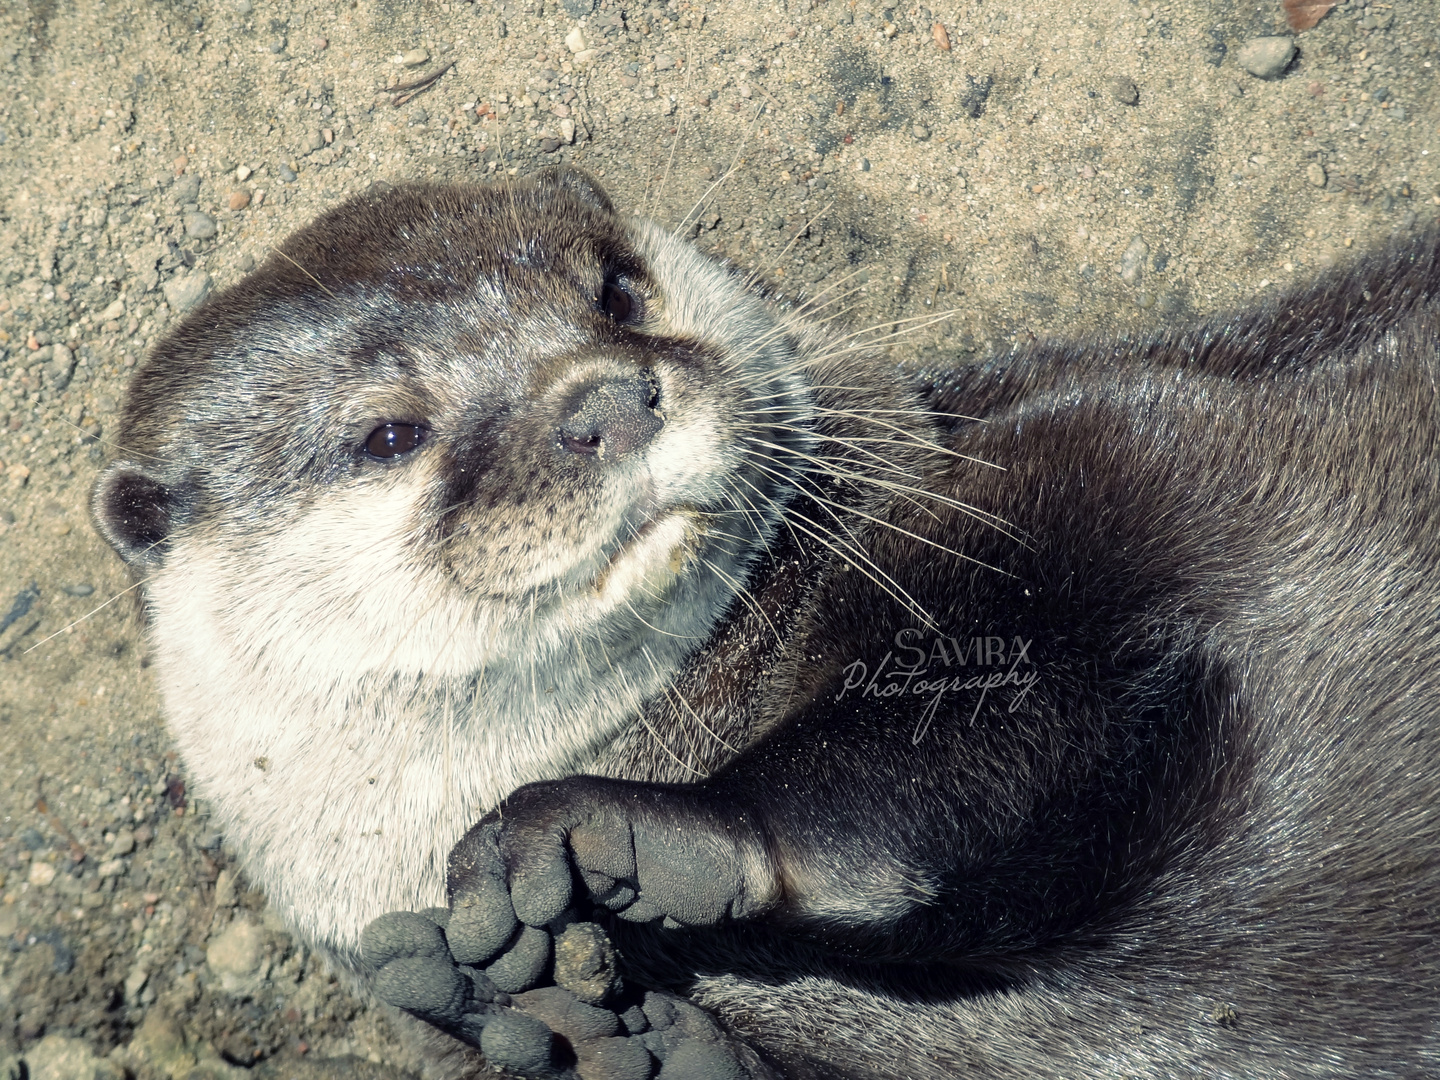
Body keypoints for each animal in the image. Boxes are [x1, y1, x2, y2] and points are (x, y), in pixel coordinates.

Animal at [95, 171, 1440, 1080]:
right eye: (387, 433)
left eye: (614, 286)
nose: (602, 397)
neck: (703, 707)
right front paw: (599, 1025)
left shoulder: (1065, 477)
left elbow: (1012, 706)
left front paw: (632, 837)